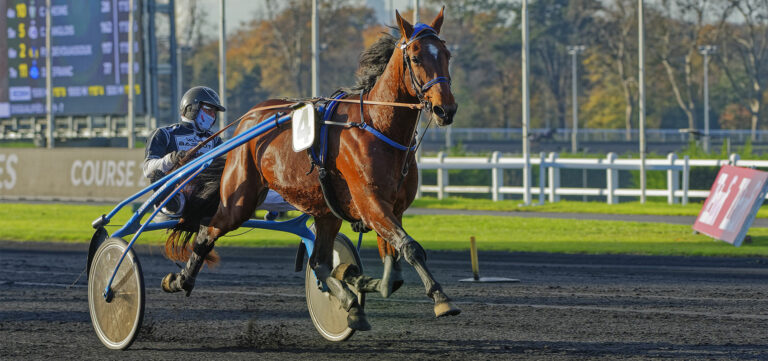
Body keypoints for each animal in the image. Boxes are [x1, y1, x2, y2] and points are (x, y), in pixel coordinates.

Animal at [161, 9, 460, 330]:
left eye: (447, 55)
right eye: (415, 57)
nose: (446, 109)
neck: (379, 126)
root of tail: (250, 116)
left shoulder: (393, 208)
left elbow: (394, 272)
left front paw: (357, 279)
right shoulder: (371, 203)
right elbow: (411, 248)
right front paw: (441, 298)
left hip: (325, 210)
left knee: (319, 261)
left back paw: (350, 302)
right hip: (239, 198)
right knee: (207, 232)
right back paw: (180, 280)